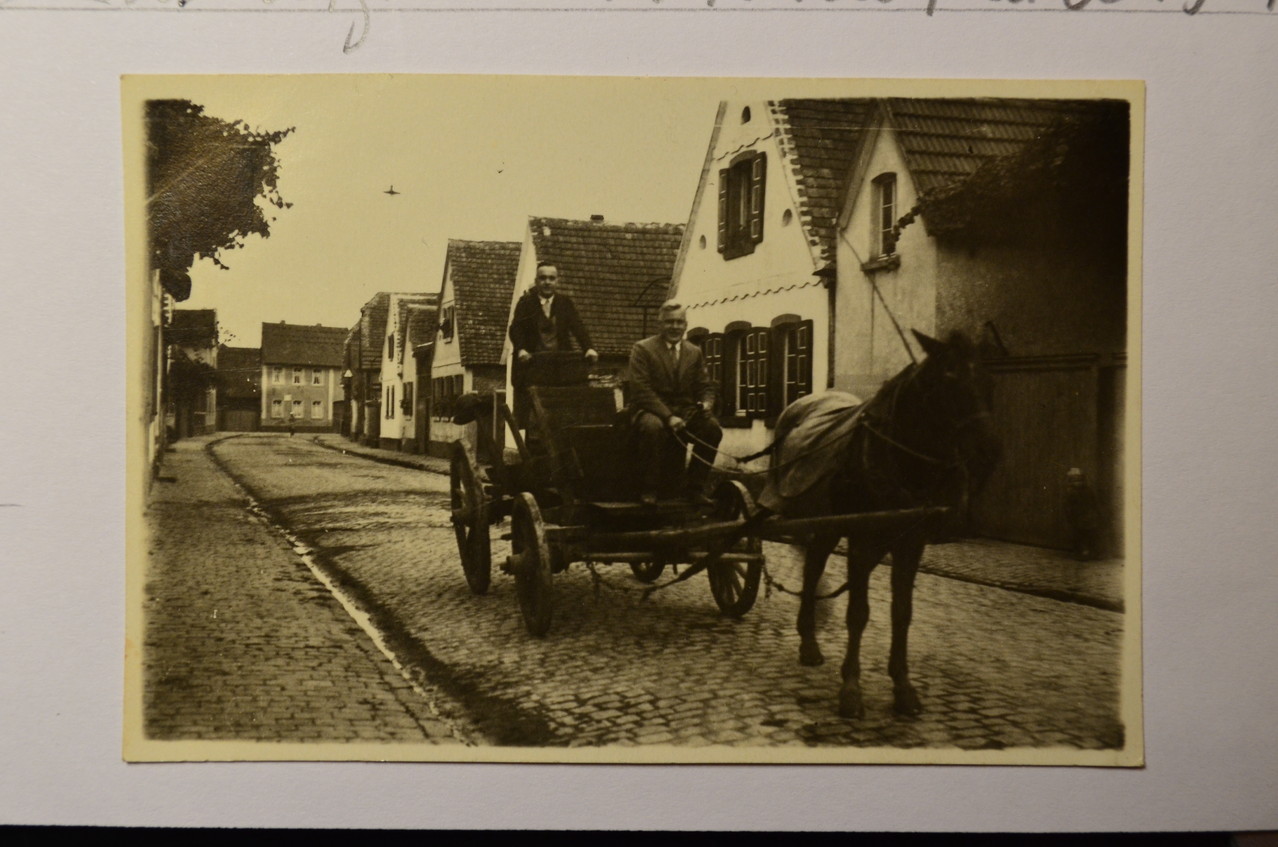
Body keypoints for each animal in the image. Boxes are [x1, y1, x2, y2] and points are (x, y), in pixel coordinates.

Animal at [751, 327, 1001, 720]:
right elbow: (858, 613)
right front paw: (851, 690)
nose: (989, 451)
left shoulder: (910, 544)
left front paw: (903, 687)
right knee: (812, 568)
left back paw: (809, 641)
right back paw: (809, 641)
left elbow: (902, 613)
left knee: (812, 565)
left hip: (828, 524)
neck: (897, 457)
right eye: (949, 380)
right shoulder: (862, 540)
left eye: (989, 381)